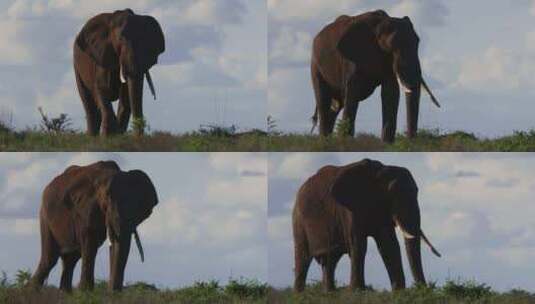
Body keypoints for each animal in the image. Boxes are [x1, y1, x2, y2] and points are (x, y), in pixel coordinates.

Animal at [29, 160, 158, 290]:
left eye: (138, 206)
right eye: (107, 198)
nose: (112, 291)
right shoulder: (86, 207)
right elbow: (90, 242)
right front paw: (85, 291)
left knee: (70, 260)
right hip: (45, 216)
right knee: (50, 259)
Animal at [73, 9, 164, 137]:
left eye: (146, 41)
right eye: (120, 40)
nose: (138, 137)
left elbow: (126, 96)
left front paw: (117, 135)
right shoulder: (101, 58)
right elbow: (102, 90)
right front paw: (108, 136)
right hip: (77, 66)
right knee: (90, 106)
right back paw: (91, 137)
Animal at [294, 158, 440, 290]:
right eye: (391, 193)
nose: (424, 288)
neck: (378, 171)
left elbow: (389, 245)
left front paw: (399, 292)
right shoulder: (350, 208)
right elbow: (359, 244)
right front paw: (357, 291)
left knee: (330, 261)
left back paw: (329, 293)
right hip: (298, 219)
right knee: (303, 259)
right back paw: (299, 295)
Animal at [310, 9, 440, 142]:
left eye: (417, 42)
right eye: (391, 46)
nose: (411, 140)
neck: (379, 24)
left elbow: (390, 93)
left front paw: (387, 144)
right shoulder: (352, 58)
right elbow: (352, 93)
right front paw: (346, 142)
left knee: (336, 105)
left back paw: (328, 139)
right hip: (315, 65)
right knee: (323, 99)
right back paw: (324, 140)